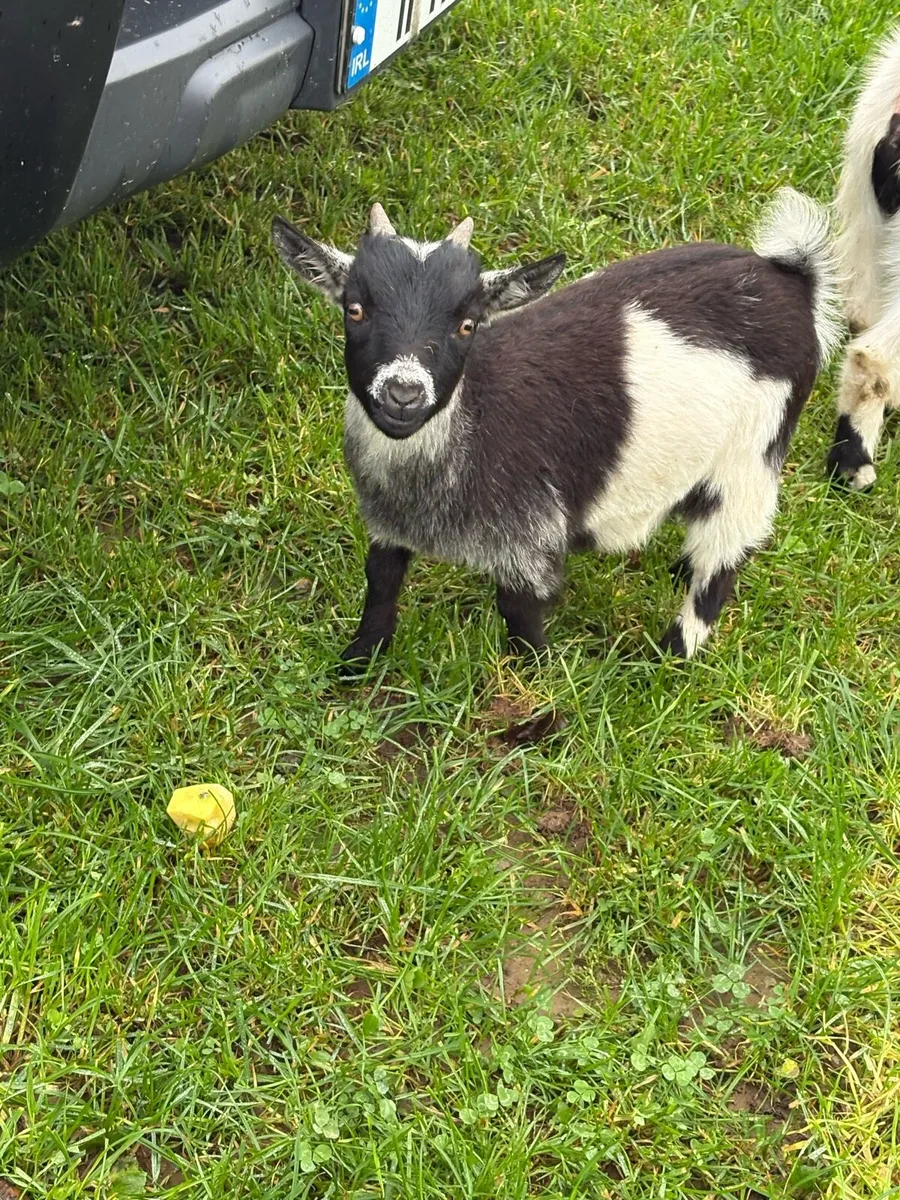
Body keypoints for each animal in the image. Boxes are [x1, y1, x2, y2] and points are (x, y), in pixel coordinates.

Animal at [272, 190, 840, 666]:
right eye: (355, 309)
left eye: (467, 324)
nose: (403, 393)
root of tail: (789, 278)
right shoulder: (389, 523)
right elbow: (381, 580)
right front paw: (357, 662)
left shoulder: (531, 535)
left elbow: (519, 608)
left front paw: (536, 674)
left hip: (753, 453)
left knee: (724, 558)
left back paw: (668, 657)